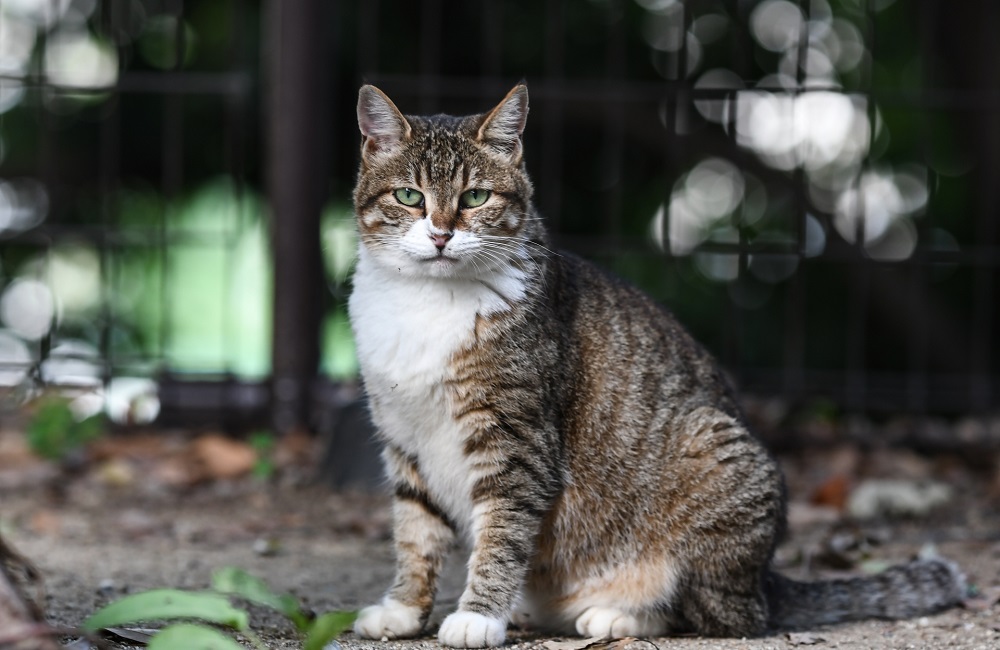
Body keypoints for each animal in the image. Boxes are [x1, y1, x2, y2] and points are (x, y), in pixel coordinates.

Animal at [348, 83, 964, 644]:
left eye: (475, 197)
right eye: (408, 196)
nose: (441, 234)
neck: (428, 302)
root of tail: (766, 580)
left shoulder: (517, 443)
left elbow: (501, 534)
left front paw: (478, 616)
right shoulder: (404, 439)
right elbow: (416, 533)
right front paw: (404, 609)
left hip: (713, 462)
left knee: (719, 616)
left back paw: (618, 615)